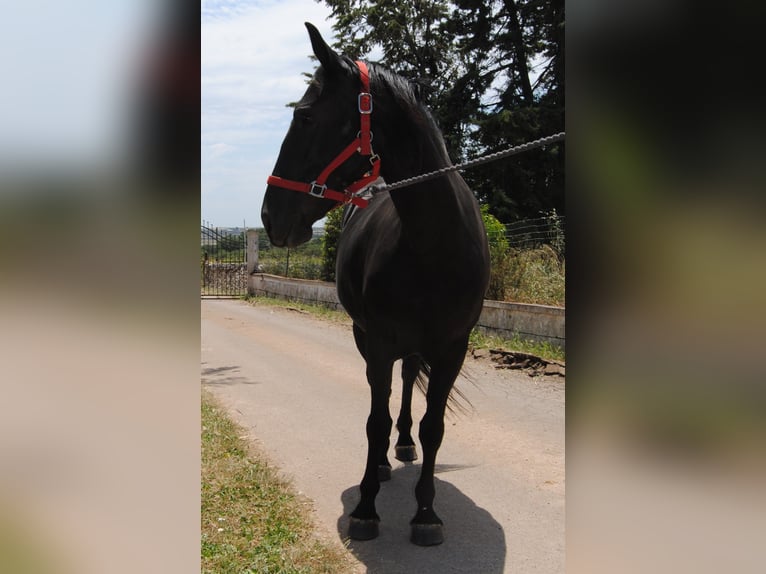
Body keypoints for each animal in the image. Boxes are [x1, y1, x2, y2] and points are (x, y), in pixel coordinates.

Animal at [261, 22, 490, 546]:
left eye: (305, 116)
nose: (268, 215)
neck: (433, 244)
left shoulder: (453, 348)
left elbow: (433, 427)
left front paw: (426, 512)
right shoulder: (380, 340)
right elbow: (374, 420)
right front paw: (367, 505)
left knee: (406, 386)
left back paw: (402, 447)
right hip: (367, 338)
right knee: (384, 395)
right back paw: (385, 461)